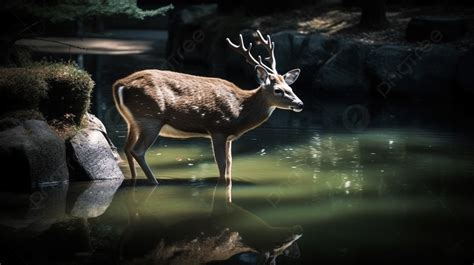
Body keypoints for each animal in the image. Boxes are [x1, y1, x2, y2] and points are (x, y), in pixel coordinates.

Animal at [113, 29, 302, 202]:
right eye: (278, 90)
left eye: (290, 87)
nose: (300, 103)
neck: (240, 111)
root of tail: (119, 84)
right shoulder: (218, 128)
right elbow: (222, 166)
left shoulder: (229, 137)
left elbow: (230, 165)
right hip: (150, 117)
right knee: (138, 150)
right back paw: (154, 182)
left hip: (133, 121)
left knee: (127, 148)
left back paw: (134, 180)